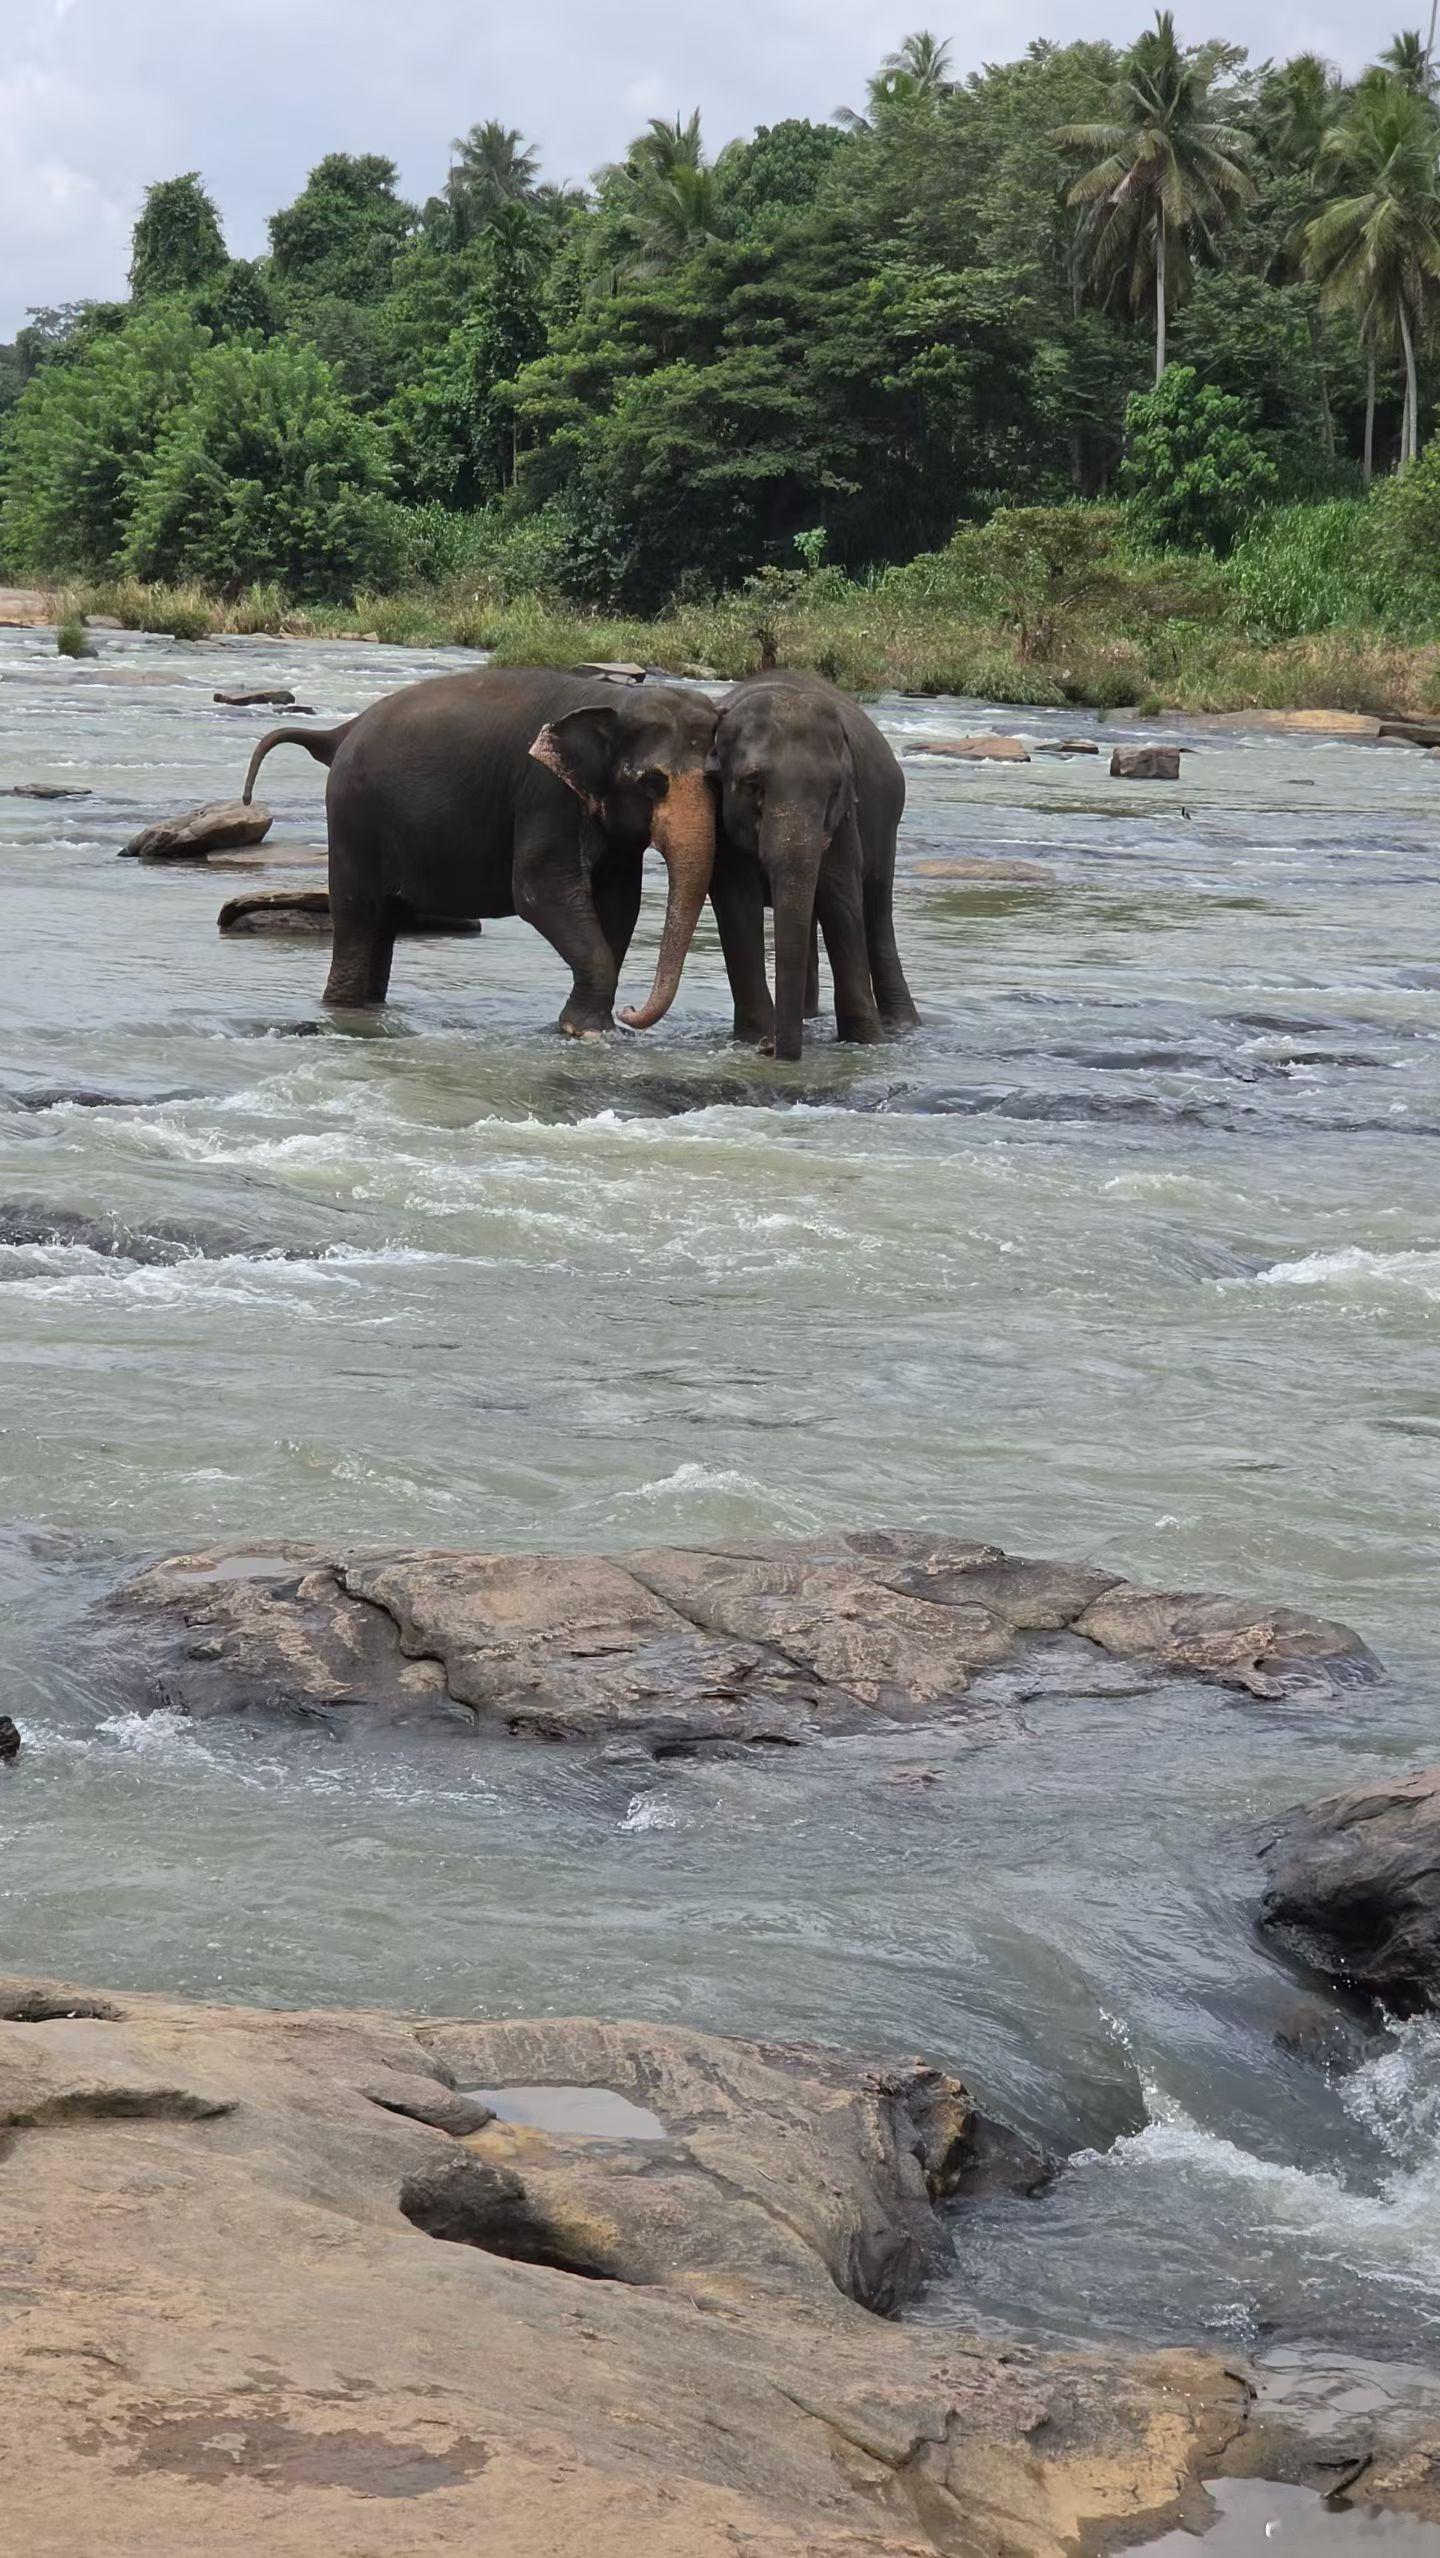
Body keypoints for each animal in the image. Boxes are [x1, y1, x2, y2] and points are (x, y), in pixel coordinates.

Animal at [240, 666, 719, 1032]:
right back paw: (344, 1010)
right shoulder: (544, 793)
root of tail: (341, 732)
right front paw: (587, 1031)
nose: (631, 1011)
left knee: (383, 920)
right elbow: (539, 892)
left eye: (716, 780)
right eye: (653, 782)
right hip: (352, 818)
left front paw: (588, 1026)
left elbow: (620, 904)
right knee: (358, 913)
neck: (611, 698)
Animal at [653, 671, 919, 1063]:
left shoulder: (844, 818)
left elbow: (840, 894)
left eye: (834, 788)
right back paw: (807, 1016)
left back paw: (901, 1026)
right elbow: (737, 901)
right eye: (752, 782)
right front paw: (755, 1037)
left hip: (887, 824)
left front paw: (866, 1041)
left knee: (875, 908)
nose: (772, 1050)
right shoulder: (720, 816)